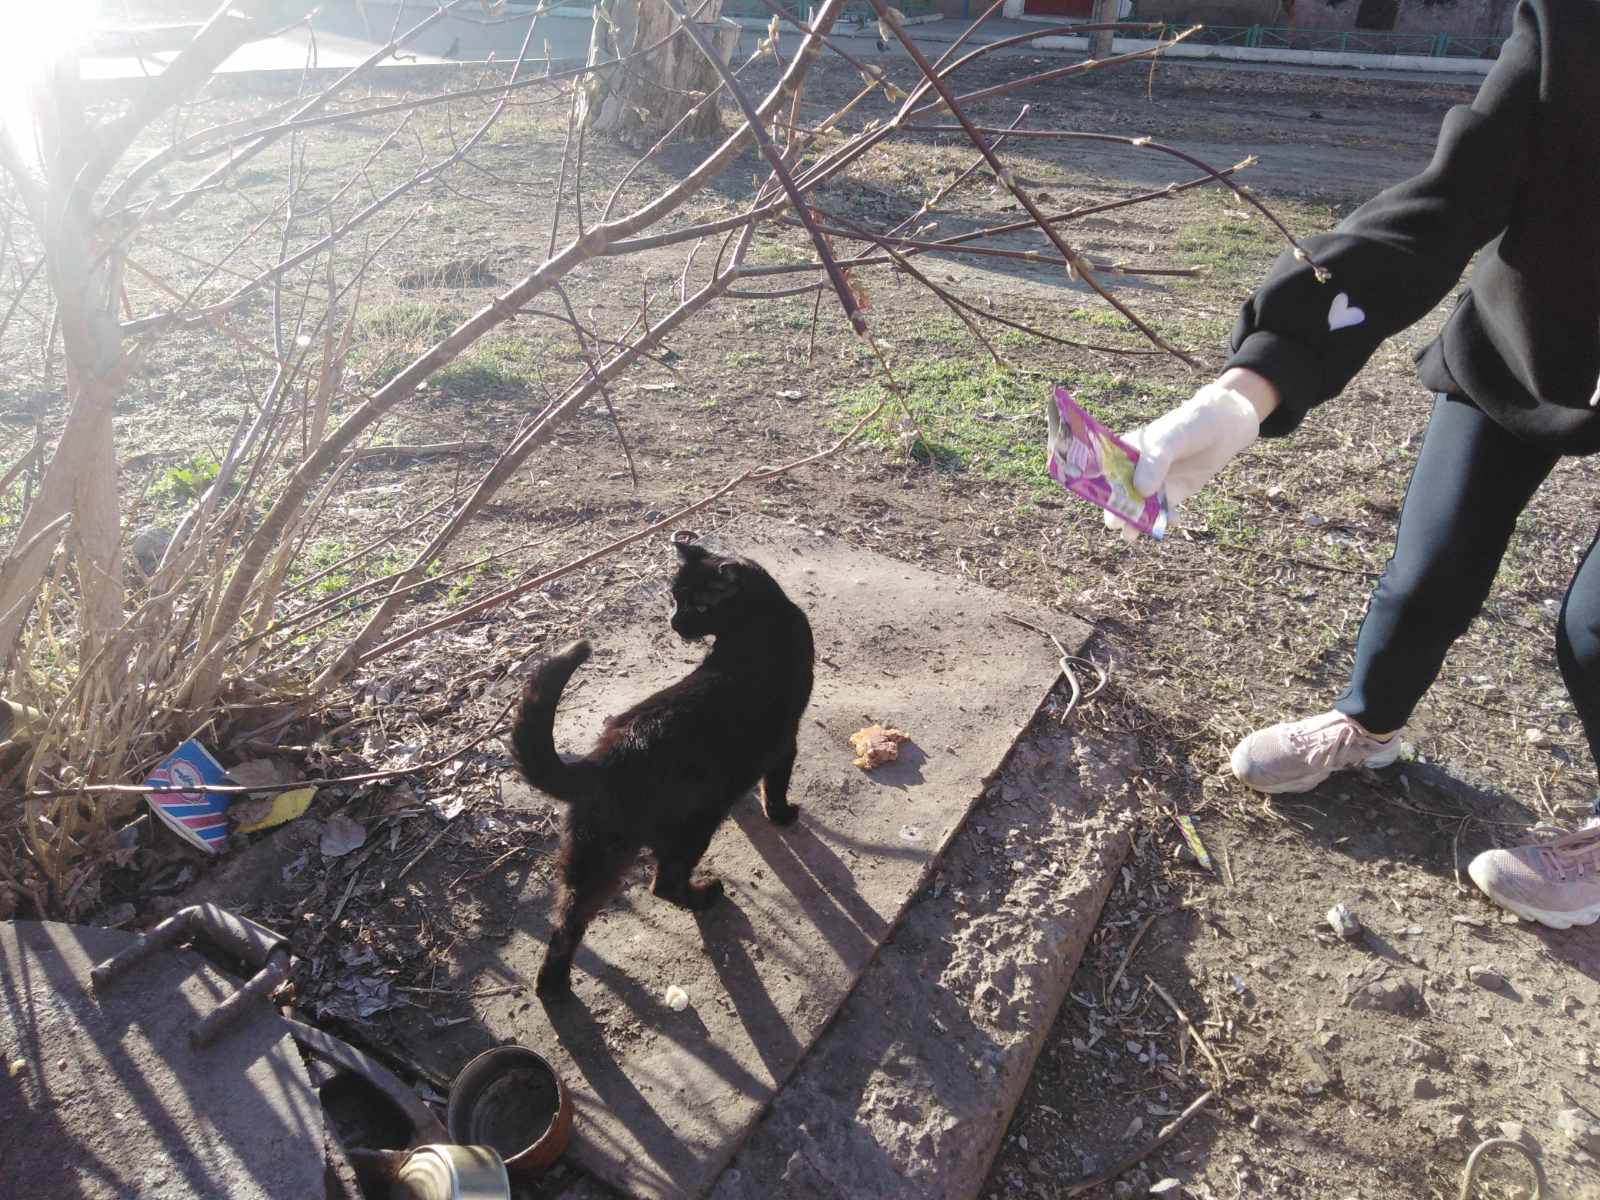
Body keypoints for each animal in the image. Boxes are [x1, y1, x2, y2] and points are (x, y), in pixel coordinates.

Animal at [508, 534, 812, 998]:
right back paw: (707, 895)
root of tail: (602, 760)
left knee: (567, 923)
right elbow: (775, 785)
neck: (762, 619)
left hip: (593, 859)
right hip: (690, 831)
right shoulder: (785, 740)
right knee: (664, 883)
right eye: (675, 598)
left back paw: (553, 988)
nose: (673, 622)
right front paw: (781, 815)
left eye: (696, 605)